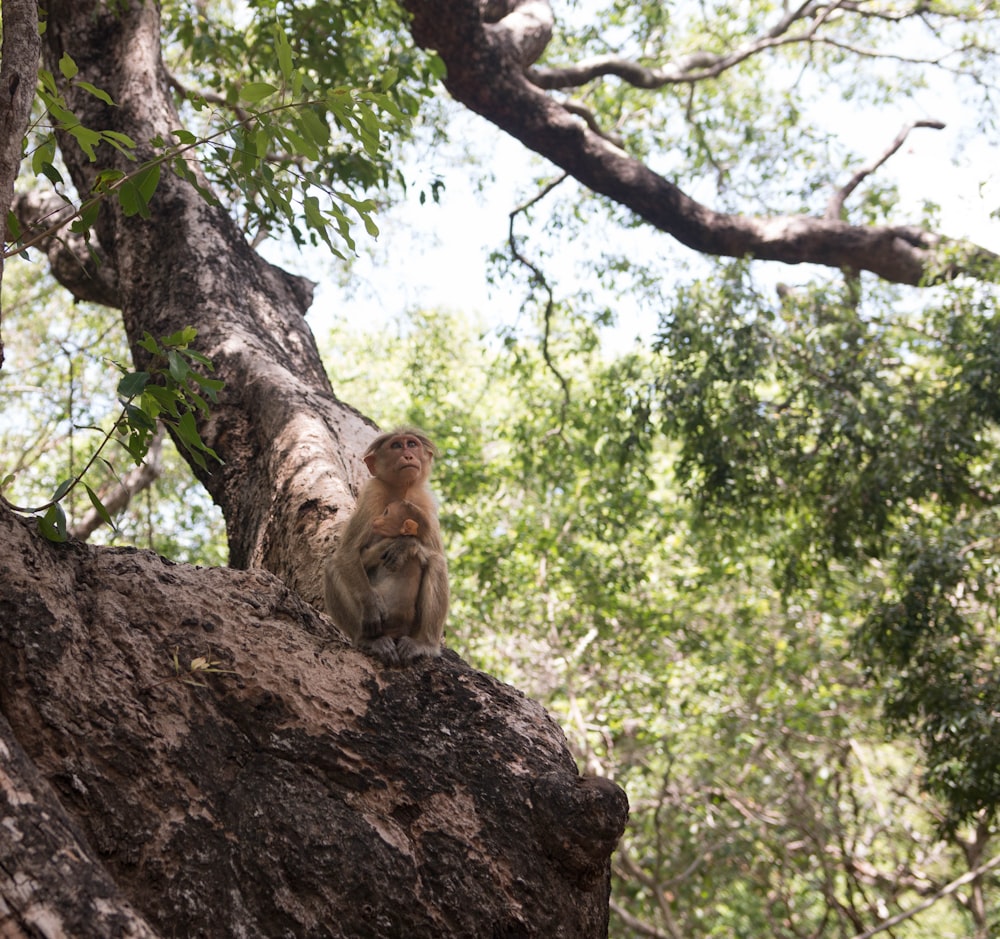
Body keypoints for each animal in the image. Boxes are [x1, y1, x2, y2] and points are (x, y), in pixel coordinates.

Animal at [324, 430, 450, 664]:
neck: (402, 489)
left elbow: (435, 552)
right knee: (332, 566)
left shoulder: (425, 503)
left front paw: (406, 544)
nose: (408, 455)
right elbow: (347, 553)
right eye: (396, 446)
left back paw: (425, 644)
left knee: (436, 562)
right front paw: (371, 606)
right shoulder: (372, 493)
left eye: (412, 444)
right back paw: (369, 640)